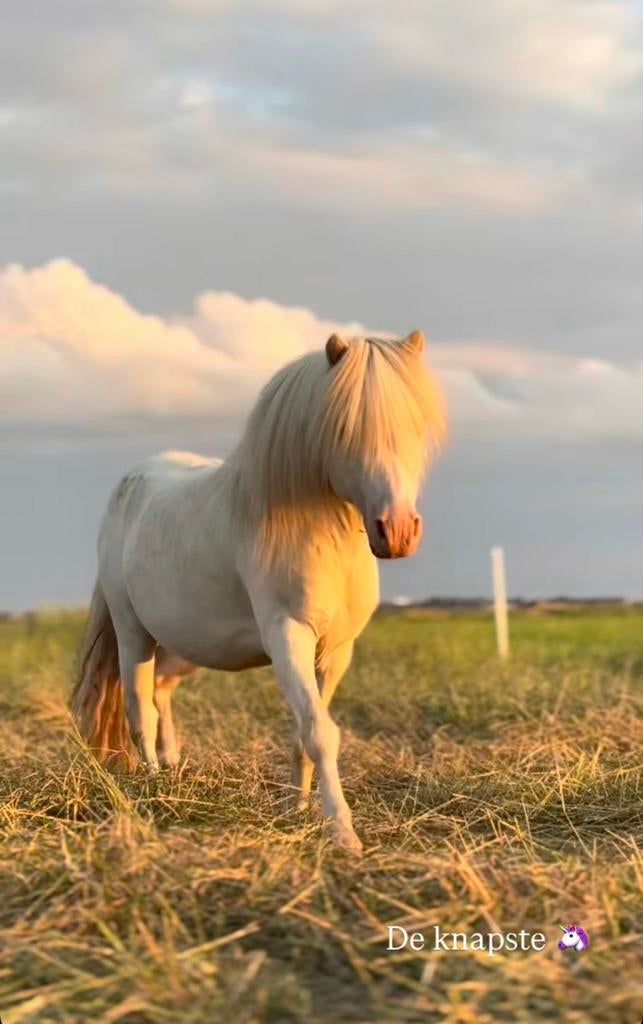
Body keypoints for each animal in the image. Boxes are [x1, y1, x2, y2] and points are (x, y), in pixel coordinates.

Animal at [72, 330, 445, 851]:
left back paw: (172, 768)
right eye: (344, 431)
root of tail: (128, 485)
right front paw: (343, 832)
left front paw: (298, 811)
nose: (397, 532)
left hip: (181, 646)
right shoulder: (288, 635)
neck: (316, 532)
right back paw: (152, 787)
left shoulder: (336, 651)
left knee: (162, 694)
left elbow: (304, 731)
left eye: (416, 427)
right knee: (139, 706)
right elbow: (320, 731)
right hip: (133, 634)